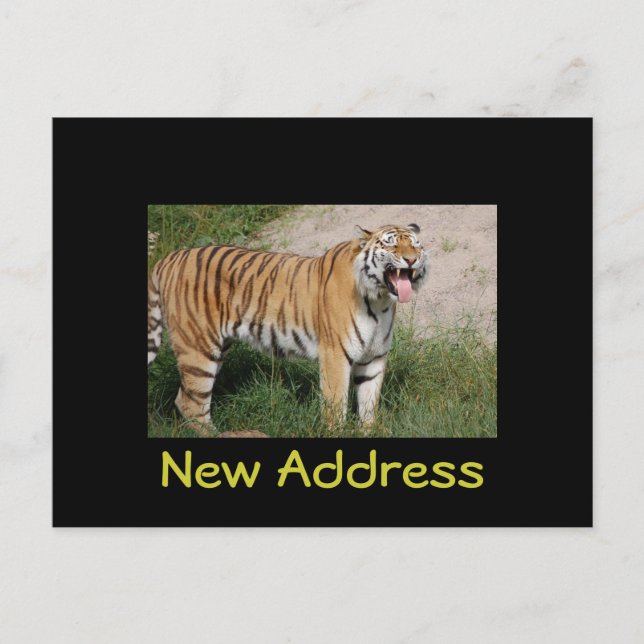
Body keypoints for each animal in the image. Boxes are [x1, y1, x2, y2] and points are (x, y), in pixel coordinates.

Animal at [147, 223, 429, 436]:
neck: (380, 300)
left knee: (185, 398)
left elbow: (368, 404)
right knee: (191, 403)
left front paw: (367, 431)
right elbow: (335, 404)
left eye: (415, 245)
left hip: (215, 348)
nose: (411, 259)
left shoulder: (374, 357)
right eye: (391, 244)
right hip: (197, 348)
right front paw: (336, 431)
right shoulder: (335, 354)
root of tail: (169, 257)